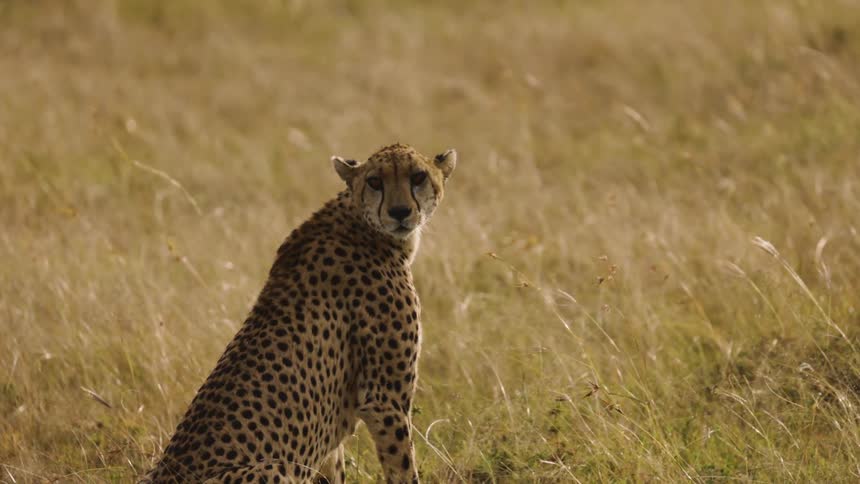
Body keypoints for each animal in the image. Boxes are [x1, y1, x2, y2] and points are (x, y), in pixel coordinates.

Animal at [143, 143, 457, 483]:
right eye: (375, 181)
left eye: (418, 176)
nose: (399, 212)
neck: (363, 223)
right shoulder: (383, 399)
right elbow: (403, 468)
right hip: (276, 466)